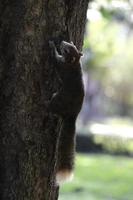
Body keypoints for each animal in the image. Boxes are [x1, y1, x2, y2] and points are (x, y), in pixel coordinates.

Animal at [48, 40, 84, 184]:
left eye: (68, 50)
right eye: (70, 44)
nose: (62, 42)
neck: (73, 63)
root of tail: (72, 115)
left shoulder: (62, 66)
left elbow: (55, 60)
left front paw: (52, 47)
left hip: (58, 100)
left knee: (51, 108)